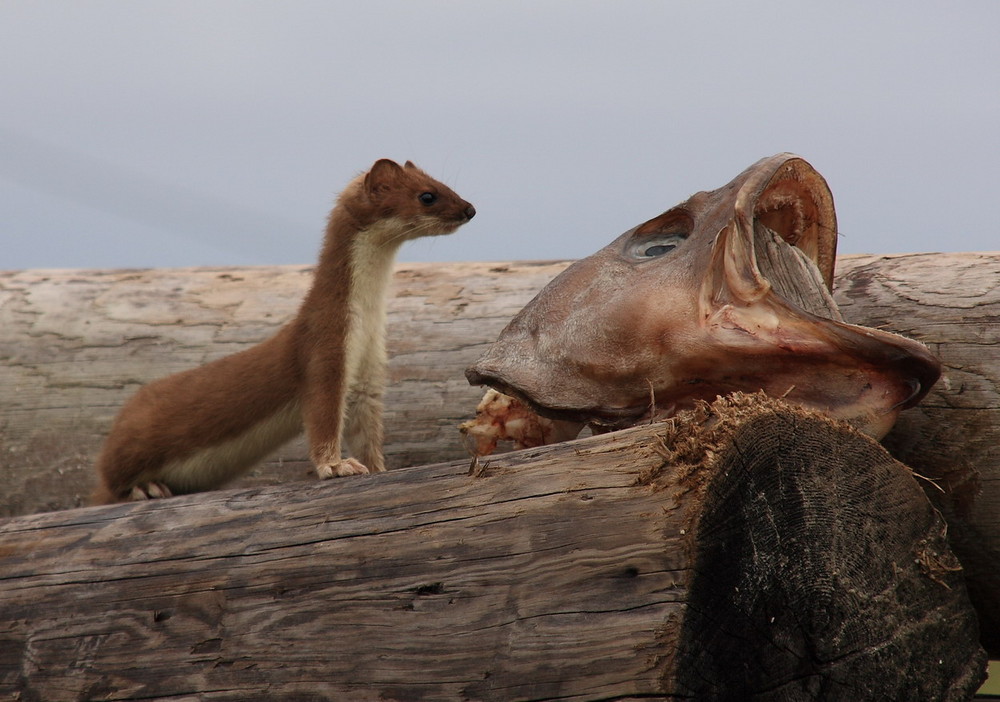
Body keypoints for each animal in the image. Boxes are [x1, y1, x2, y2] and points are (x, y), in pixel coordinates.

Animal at [92, 158, 474, 506]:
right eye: (427, 196)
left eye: (444, 184)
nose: (470, 209)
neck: (366, 321)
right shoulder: (324, 348)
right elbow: (322, 416)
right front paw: (337, 466)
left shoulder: (370, 370)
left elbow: (367, 429)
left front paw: (378, 468)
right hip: (131, 441)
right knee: (109, 481)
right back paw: (146, 487)